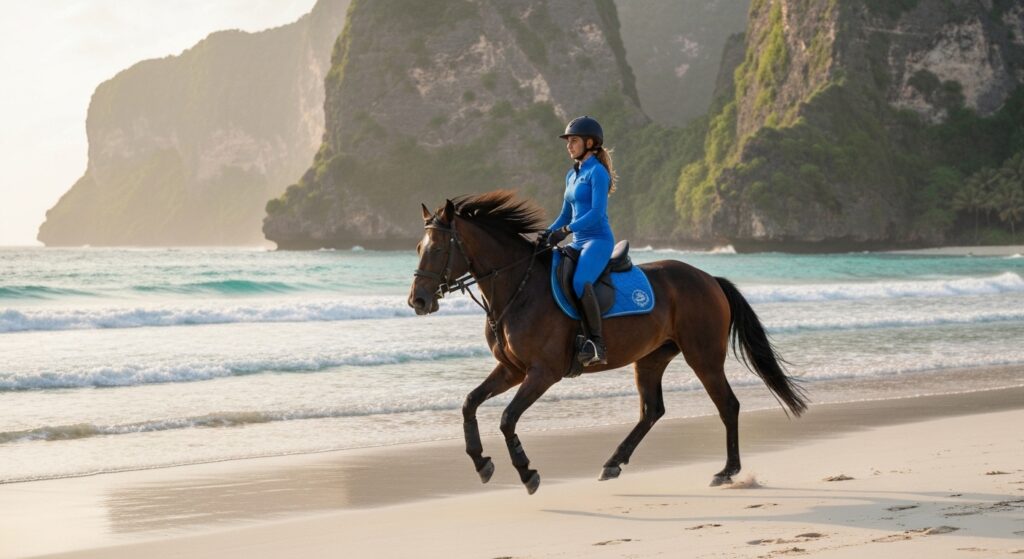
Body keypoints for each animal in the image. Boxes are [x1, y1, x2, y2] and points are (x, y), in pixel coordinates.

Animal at [408, 190, 807, 494]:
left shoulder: (542, 373)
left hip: (704, 356)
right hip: (651, 359)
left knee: (727, 405)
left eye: (439, 248)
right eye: (417, 247)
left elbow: (507, 418)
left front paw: (527, 472)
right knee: (652, 411)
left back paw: (726, 471)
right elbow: (469, 403)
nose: (418, 301)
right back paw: (614, 463)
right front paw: (481, 462)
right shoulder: (512, 370)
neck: (518, 288)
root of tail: (709, 278)